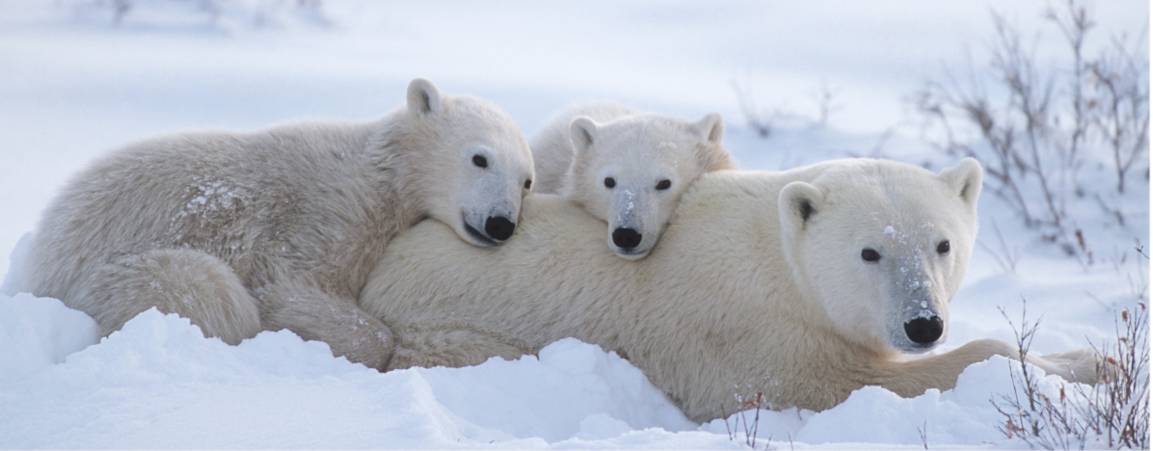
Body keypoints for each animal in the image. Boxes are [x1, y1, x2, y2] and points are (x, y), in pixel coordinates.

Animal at [21, 79, 534, 373]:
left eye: (526, 180)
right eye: (480, 158)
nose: (500, 223)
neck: (383, 173)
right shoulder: (324, 213)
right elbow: (288, 285)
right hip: (113, 269)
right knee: (204, 292)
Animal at [357, 156, 1097, 422]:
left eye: (941, 244)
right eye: (870, 251)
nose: (923, 324)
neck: (779, 260)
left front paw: (1088, 357)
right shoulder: (754, 336)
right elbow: (842, 381)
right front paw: (1092, 367)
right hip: (446, 331)